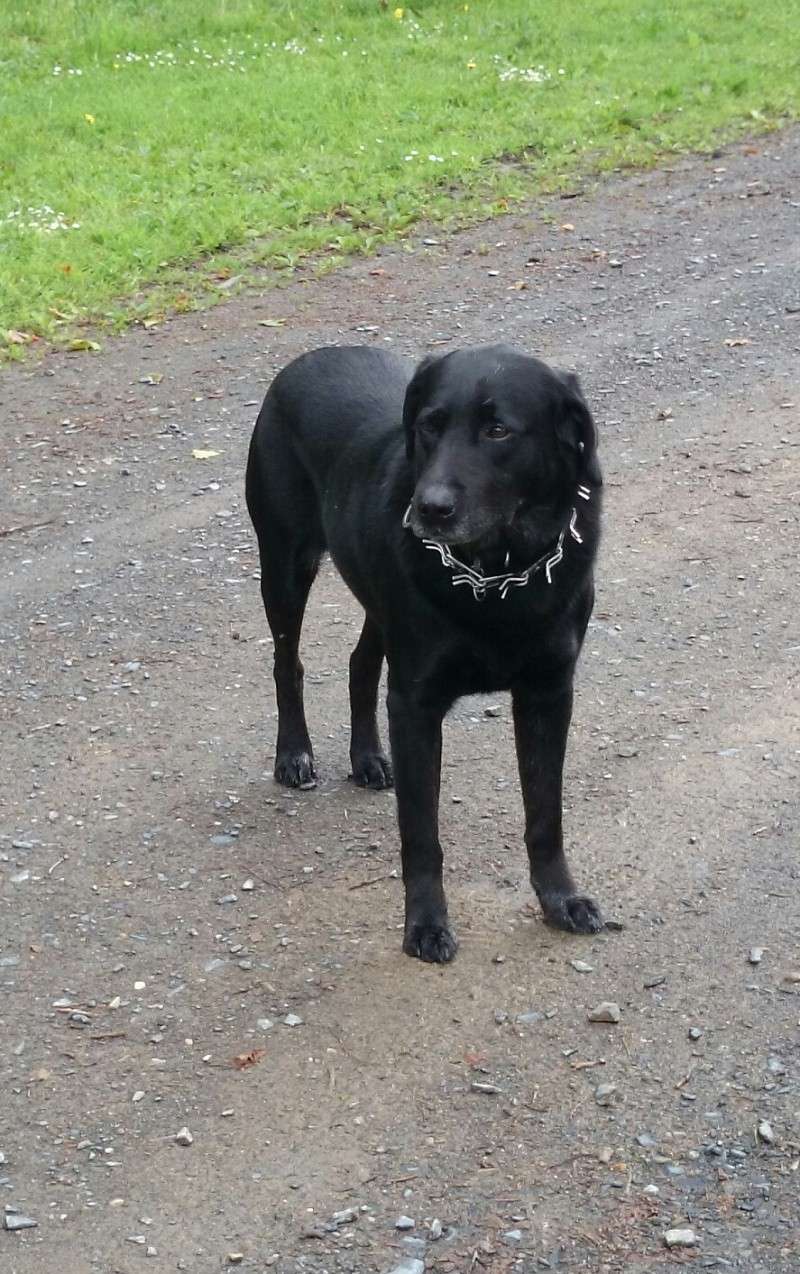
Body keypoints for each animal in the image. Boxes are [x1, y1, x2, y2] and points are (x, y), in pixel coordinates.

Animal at [247, 343, 603, 958]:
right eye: (429, 426)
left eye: (497, 429)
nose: (428, 508)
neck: (498, 577)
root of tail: (306, 358)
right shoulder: (416, 705)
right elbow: (421, 833)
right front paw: (426, 924)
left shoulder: (549, 694)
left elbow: (545, 812)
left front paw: (560, 898)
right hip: (286, 566)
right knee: (286, 664)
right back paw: (293, 754)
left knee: (360, 663)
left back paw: (367, 757)